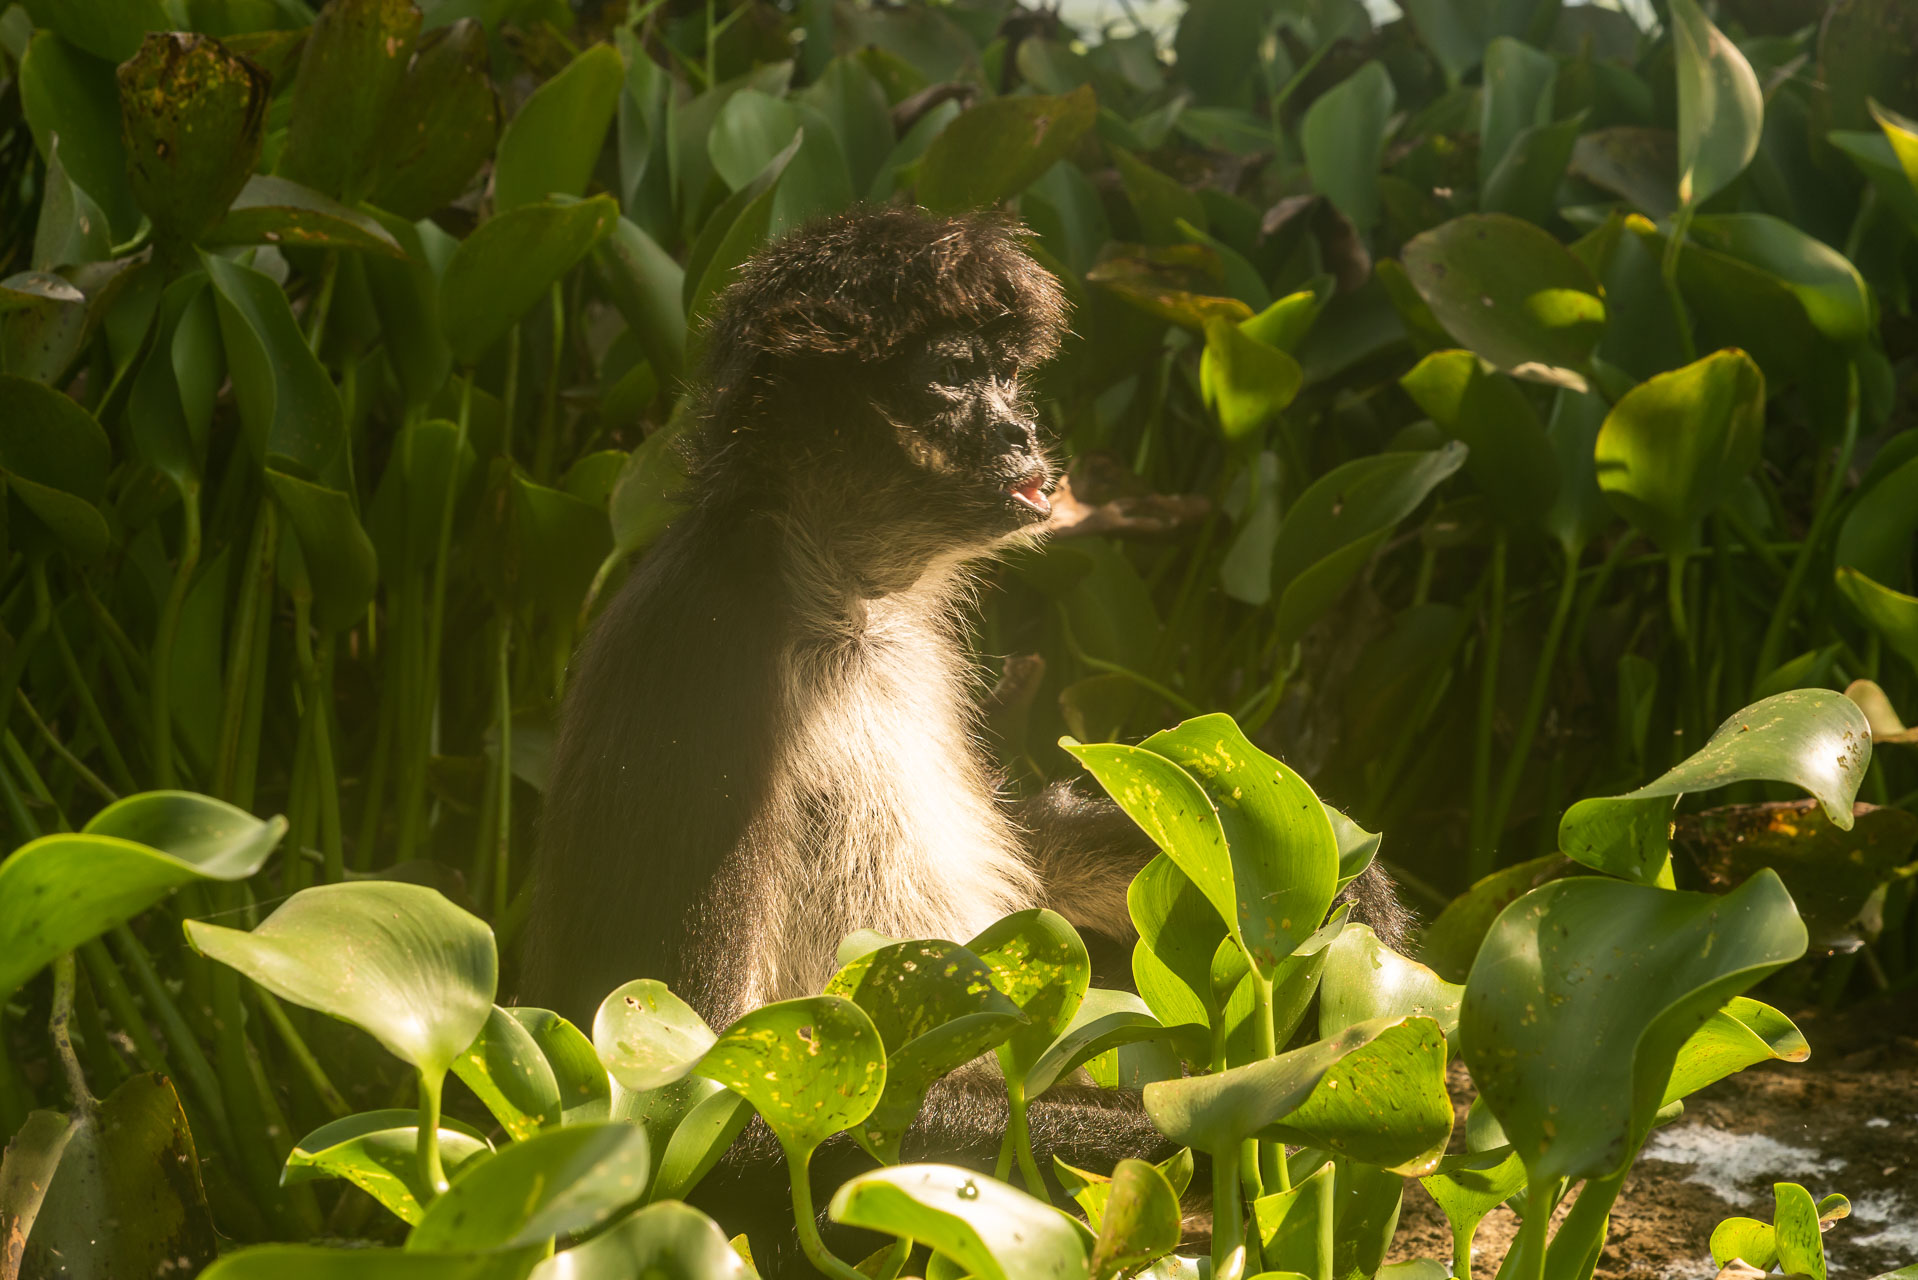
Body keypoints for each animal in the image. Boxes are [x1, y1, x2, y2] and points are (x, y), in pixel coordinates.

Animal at [525, 208, 1411, 1274]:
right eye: (951, 375)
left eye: (1007, 375)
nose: (1021, 431)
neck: (842, 604)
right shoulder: (707, 654)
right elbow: (702, 1116)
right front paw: (1258, 1112)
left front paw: (1354, 905)